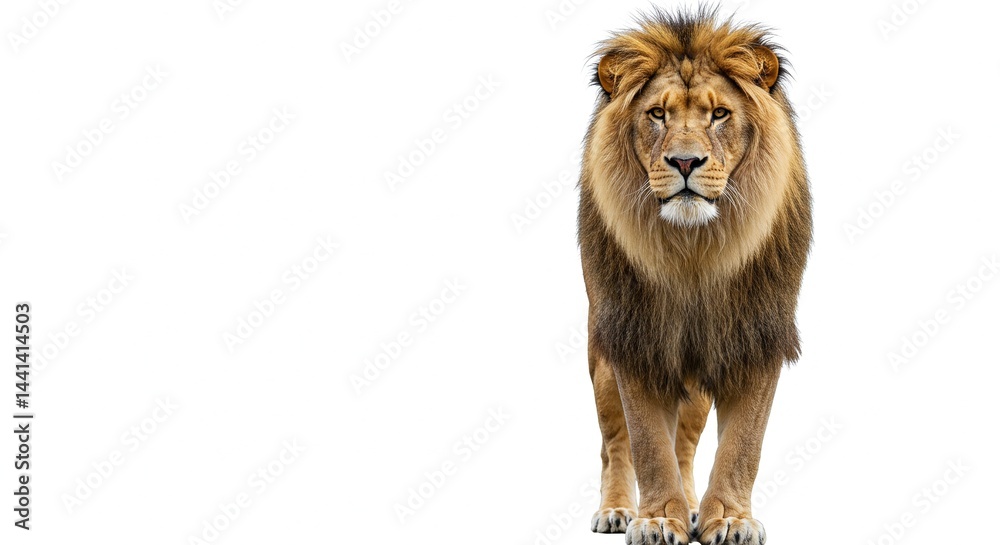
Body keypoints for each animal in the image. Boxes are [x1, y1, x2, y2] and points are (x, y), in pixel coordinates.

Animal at [578, 8, 812, 545]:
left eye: (719, 114)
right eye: (657, 115)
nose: (685, 161)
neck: (694, 252)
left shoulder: (754, 337)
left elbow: (743, 444)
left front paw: (728, 518)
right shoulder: (635, 337)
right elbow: (646, 443)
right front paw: (655, 518)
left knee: (684, 441)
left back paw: (689, 506)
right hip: (602, 356)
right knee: (614, 442)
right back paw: (619, 509)